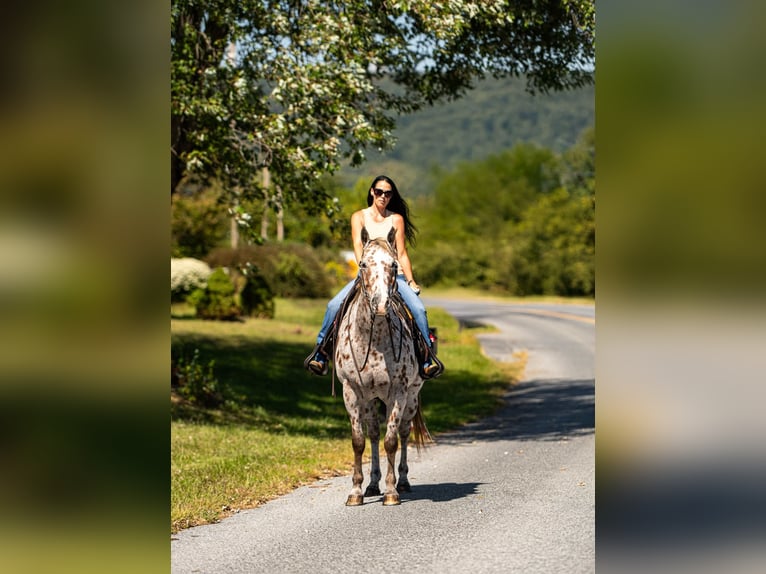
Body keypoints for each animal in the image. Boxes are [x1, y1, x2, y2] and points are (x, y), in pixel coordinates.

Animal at [334, 226, 431, 506]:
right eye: (363, 264)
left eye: (394, 264)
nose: (380, 304)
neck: (374, 340)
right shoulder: (351, 391)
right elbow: (359, 441)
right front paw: (356, 491)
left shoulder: (398, 391)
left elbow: (391, 441)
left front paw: (391, 492)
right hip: (371, 399)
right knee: (374, 434)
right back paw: (372, 484)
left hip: (411, 397)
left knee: (404, 432)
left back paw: (403, 481)